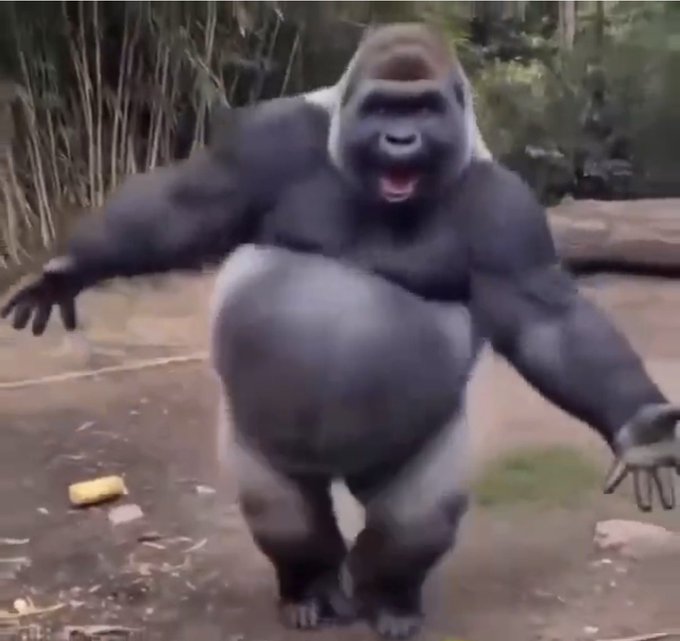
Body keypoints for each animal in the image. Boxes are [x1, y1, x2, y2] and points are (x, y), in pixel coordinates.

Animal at [3, 23, 680, 640]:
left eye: (421, 109)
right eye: (383, 108)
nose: (401, 139)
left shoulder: (507, 210)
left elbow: (547, 321)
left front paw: (640, 431)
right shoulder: (266, 139)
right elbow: (187, 208)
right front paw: (69, 270)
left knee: (412, 522)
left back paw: (388, 598)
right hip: (262, 441)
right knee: (283, 511)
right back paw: (311, 588)